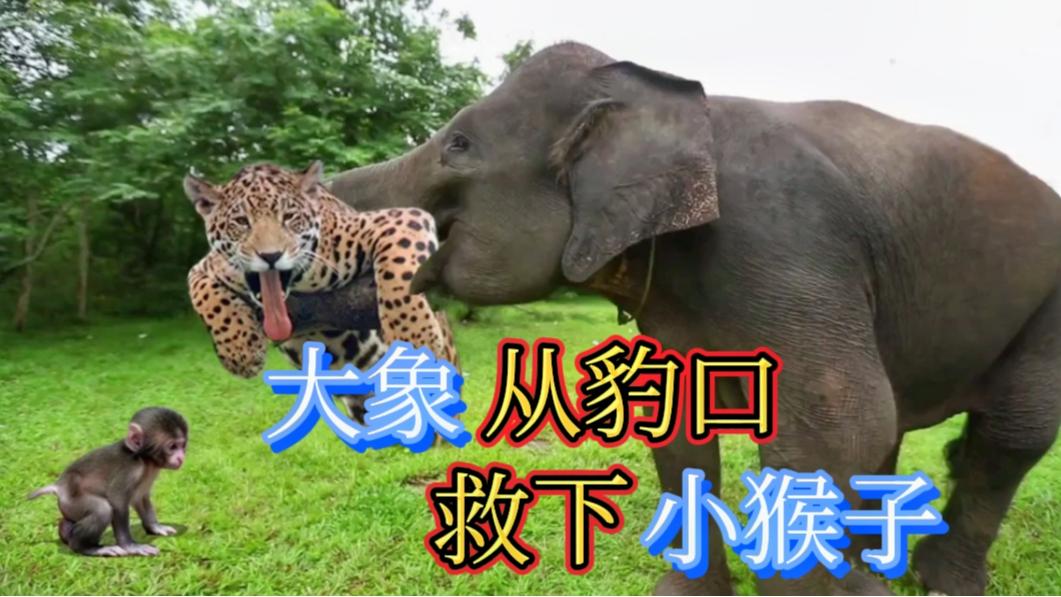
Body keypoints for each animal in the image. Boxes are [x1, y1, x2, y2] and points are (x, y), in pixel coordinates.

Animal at [291, 42, 1061, 595]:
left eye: (456, 145)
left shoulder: (784, 235)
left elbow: (837, 420)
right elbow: (678, 419)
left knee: (1011, 430)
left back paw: (935, 581)